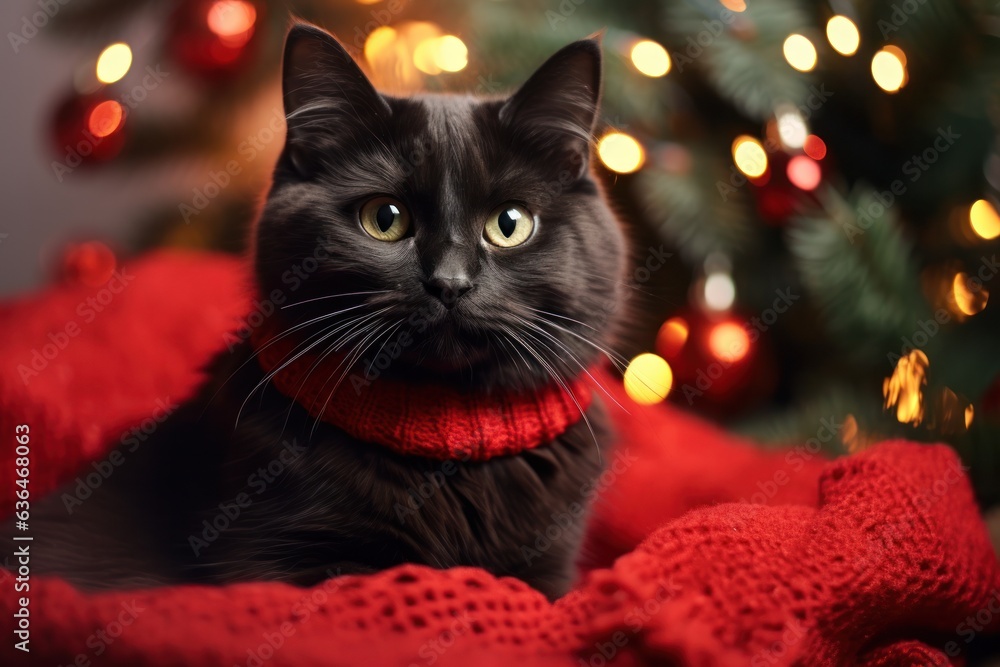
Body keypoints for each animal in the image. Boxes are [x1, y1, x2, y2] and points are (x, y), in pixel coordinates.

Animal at [15, 23, 624, 604]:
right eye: (385, 218)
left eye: (509, 224)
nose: (450, 283)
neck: (439, 437)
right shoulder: (282, 562)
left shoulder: (548, 571)